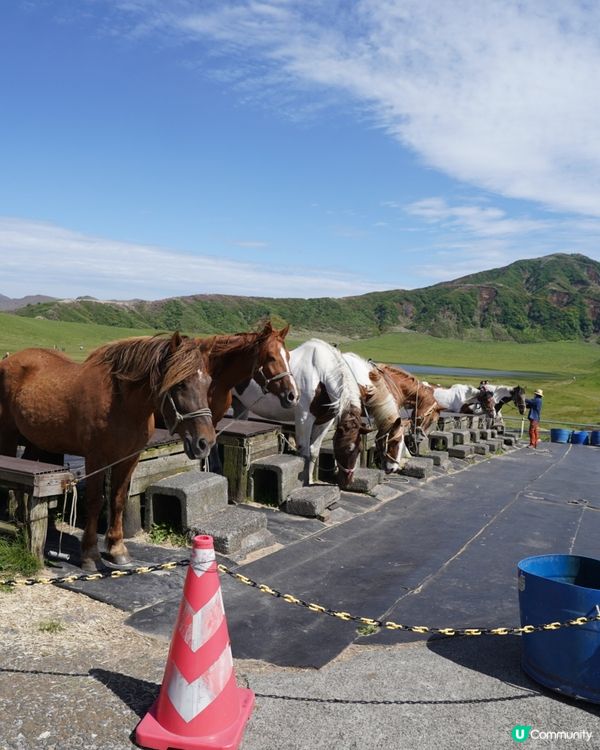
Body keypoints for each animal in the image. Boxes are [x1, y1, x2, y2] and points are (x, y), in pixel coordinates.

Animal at [0, 334, 216, 568]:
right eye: (180, 384)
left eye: (208, 383)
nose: (205, 442)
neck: (122, 404)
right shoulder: (96, 458)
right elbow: (95, 501)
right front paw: (90, 553)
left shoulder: (129, 458)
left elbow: (118, 500)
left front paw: (116, 548)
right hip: (8, 437)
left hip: (34, 440)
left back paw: (22, 518)